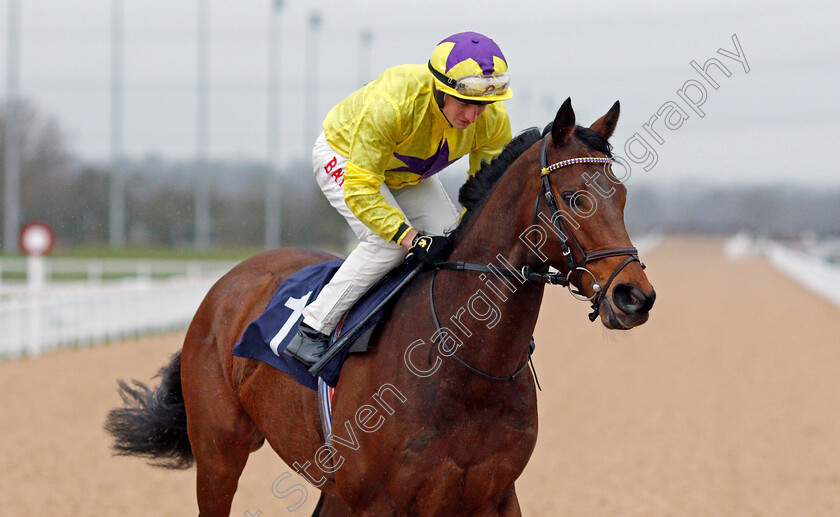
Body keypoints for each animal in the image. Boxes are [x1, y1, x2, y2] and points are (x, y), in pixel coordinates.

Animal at [106, 99, 656, 512]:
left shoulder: (493, 496)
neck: (465, 363)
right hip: (220, 451)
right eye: (576, 198)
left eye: (622, 195)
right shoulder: (372, 500)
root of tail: (226, 284)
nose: (635, 296)